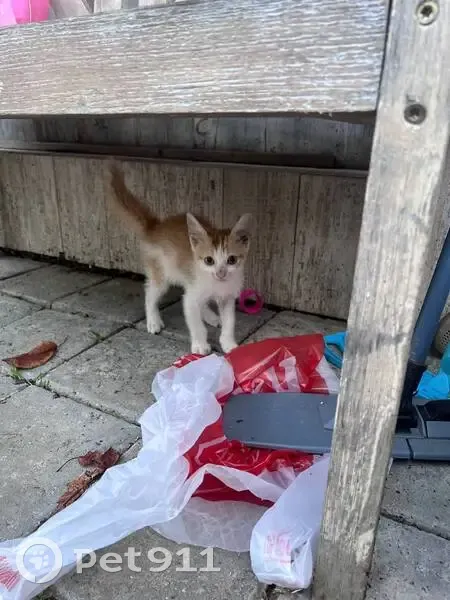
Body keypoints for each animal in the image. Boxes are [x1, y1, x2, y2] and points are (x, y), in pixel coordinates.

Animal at [110, 165, 253, 355]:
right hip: (161, 273)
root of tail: (155, 227)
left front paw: (229, 343)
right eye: (209, 260)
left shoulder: (227, 297)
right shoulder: (193, 293)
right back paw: (153, 320)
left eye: (231, 259)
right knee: (151, 292)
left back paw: (211, 316)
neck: (216, 284)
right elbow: (194, 320)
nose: (220, 273)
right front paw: (200, 344)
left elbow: (229, 322)